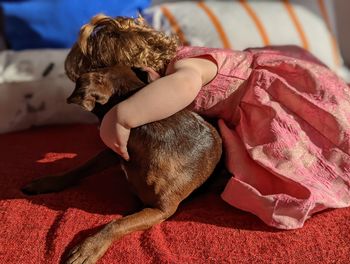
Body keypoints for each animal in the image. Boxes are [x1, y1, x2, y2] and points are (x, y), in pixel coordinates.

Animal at [21, 64, 221, 264]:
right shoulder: (112, 151)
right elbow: (80, 168)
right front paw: (46, 182)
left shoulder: (161, 210)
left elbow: (117, 223)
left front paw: (89, 248)